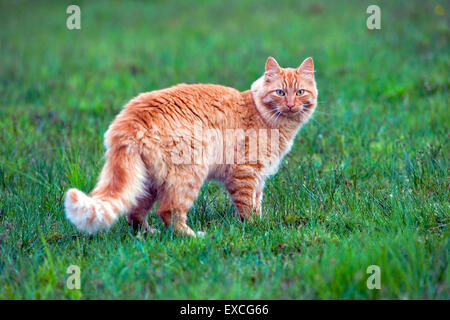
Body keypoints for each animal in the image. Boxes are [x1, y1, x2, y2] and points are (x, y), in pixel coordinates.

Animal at [65, 57, 318, 238]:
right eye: (280, 92)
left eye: (300, 92)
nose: (291, 105)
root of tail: (130, 118)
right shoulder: (245, 173)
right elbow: (246, 206)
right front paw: (254, 228)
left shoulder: (259, 178)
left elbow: (257, 203)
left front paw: (261, 223)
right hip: (189, 174)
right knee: (169, 212)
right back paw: (193, 236)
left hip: (147, 181)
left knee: (134, 213)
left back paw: (147, 234)